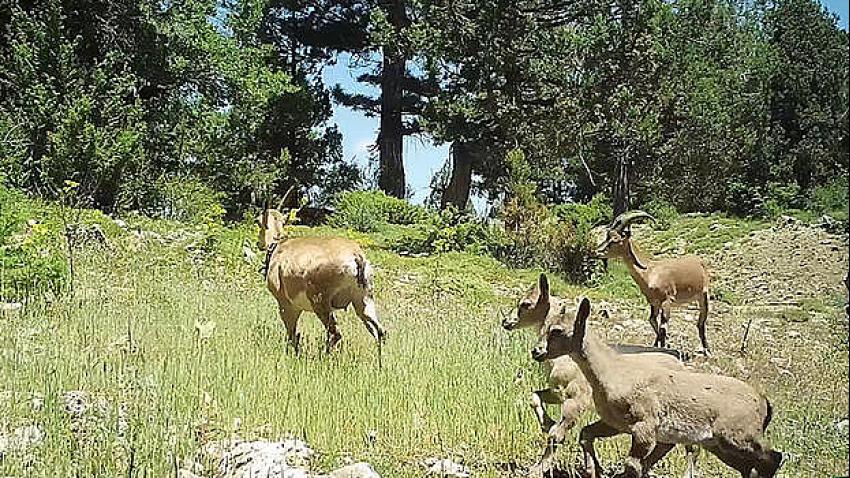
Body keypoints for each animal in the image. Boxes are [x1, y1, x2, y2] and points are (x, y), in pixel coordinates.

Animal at [253, 190, 382, 352]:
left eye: (258, 221)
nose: (259, 244)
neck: (278, 246)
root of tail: (356, 256)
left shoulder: (286, 306)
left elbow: (292, 335)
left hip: (321, 305)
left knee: (336, 334)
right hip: (363, 301)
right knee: (379, 331)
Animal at [504, 274, 696, 476]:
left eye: (526, 303)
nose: (506, 321)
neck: (564, 362)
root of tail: (681, 364)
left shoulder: (576, 398)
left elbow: (558, 434)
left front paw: (539, 468)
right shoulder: (557, 393)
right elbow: (535, 397)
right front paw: (547, 423)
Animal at [528, 296, 780, 476]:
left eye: (557, 331)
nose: (536, 351)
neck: (614, 372)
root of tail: (764, 403)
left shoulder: (644, 427)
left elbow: (632, 465)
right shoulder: (616, 424)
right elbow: (586, 434)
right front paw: (592, 470)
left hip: (738, 437)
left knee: (772, 458)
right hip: (720, 445)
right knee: (753, 467)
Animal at [596, 211, 708, 352]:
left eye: (615, 239)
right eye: (607, 236)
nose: (598, 251)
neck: (650, 272)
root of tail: (700, 261)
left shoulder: (667, 300)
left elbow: (663, 327)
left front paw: (664, 347)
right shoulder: (654, 302)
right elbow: (653, 321)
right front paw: (656, 345)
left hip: (703, 295)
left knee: (701, 322)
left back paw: (706, 350)